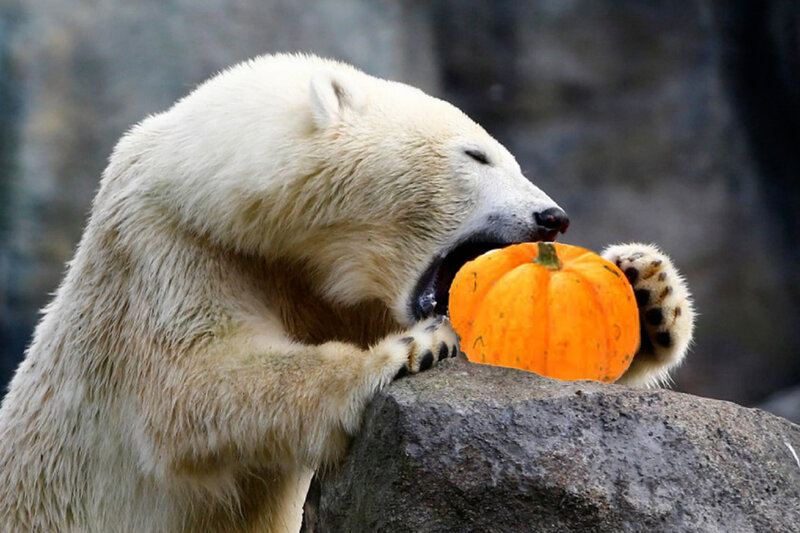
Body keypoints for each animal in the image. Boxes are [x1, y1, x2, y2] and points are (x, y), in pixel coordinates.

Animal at [0, 53, 694, 532]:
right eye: (478, 156)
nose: (555, 216)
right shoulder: (166, 246)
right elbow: (192, 384)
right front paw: (412, 351)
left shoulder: (338, 295)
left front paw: (647, 289)